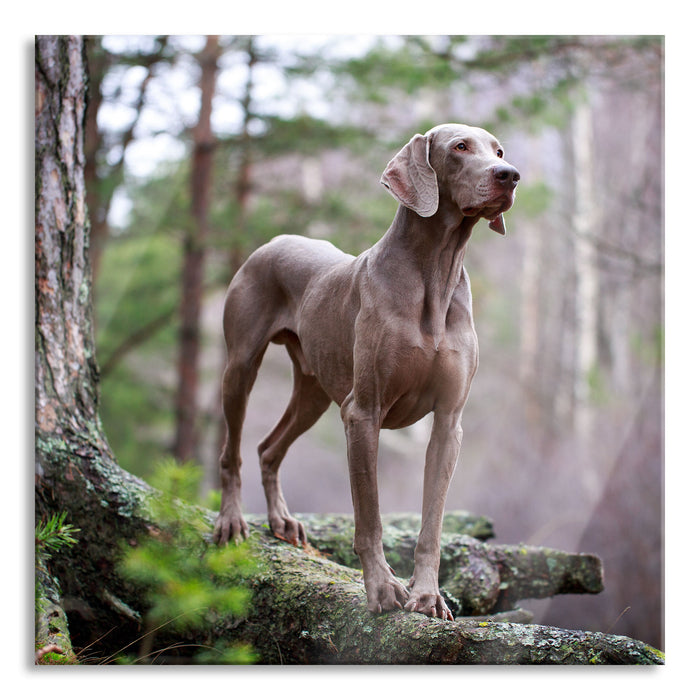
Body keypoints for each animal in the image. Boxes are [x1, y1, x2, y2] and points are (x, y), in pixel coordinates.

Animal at [215, 123, 520, 620]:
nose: (510, 175)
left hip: (314, 392)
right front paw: (381, 589)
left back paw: (281, 520)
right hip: (240, 367)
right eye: (459, 147)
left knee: (267, 448)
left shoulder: (448, 424)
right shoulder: (363, 413)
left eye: (498, 150)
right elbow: (369, 517)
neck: (435, 273)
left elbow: (432, 524)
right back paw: (231, 521)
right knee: (233, 451)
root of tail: (274, 241)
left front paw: (427, 595)